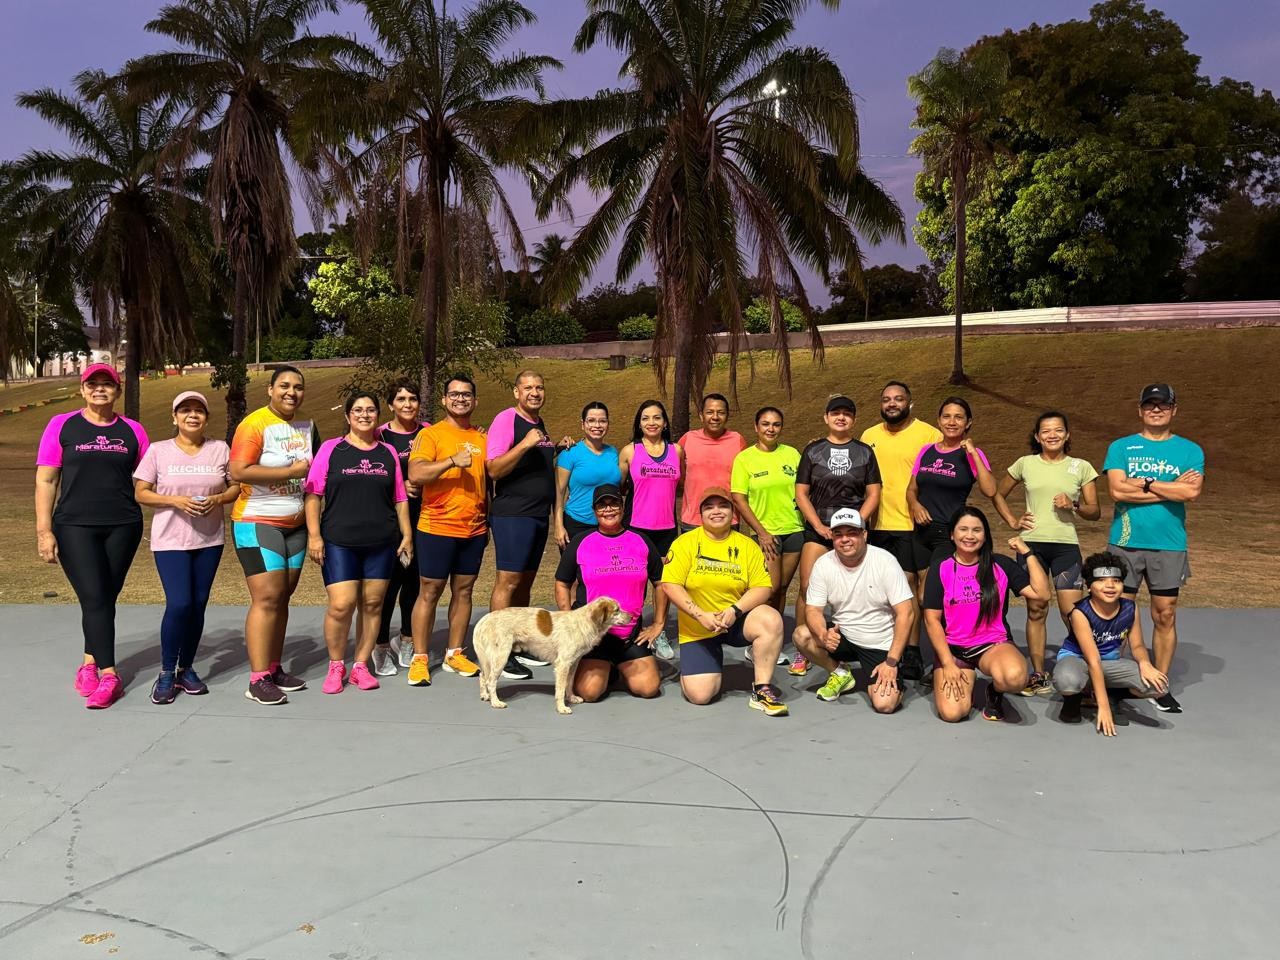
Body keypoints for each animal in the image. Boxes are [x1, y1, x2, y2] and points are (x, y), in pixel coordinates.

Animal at [473, 601, 627, 716]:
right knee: (491, 681)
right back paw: (495, 702)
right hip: (501, 656)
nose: (631, 616)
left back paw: (485, 695)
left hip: (489, 660)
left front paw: (571, 698)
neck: (583, 623)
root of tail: (485, 618)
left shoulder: (573, 663)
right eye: (617, 610)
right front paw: (561, 708)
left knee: (482, 676)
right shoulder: (563, 664)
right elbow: (560, 689)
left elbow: (569, 684)